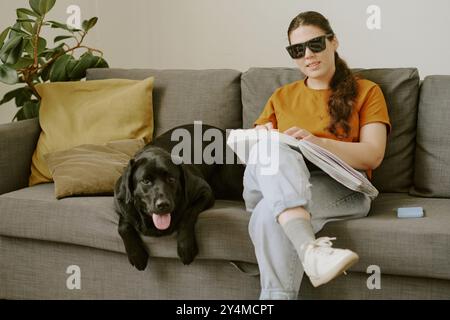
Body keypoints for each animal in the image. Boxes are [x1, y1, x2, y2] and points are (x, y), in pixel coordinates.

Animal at [114, 123, 244, 270]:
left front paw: (185, 247)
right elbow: (123, 225)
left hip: (230, 181)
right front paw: (136, 254)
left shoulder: (204, 191)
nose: (163, 204)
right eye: (146, 181)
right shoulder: (120, 202)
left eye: (171, 179)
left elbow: (188, 214)